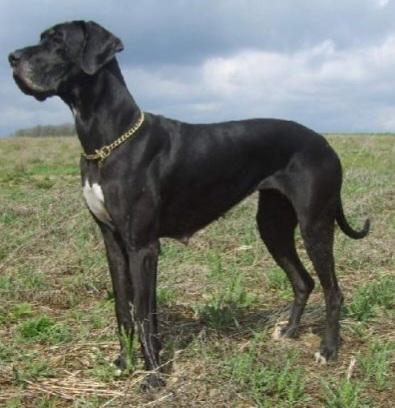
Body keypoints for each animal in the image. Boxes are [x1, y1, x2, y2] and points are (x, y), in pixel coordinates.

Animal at [8, 20, 368, 388]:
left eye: (57, 41)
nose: (12, 57)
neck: (108, 142)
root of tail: (325, 142)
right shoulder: (115, 243)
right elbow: (126, 309)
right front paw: (126, 362)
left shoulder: (142, 246)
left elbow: (143, 313)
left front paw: (153, 377)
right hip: (272, 225)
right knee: (302, 281)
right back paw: (290, 332)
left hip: (315, 224)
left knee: (333, 291)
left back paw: (328, 350)